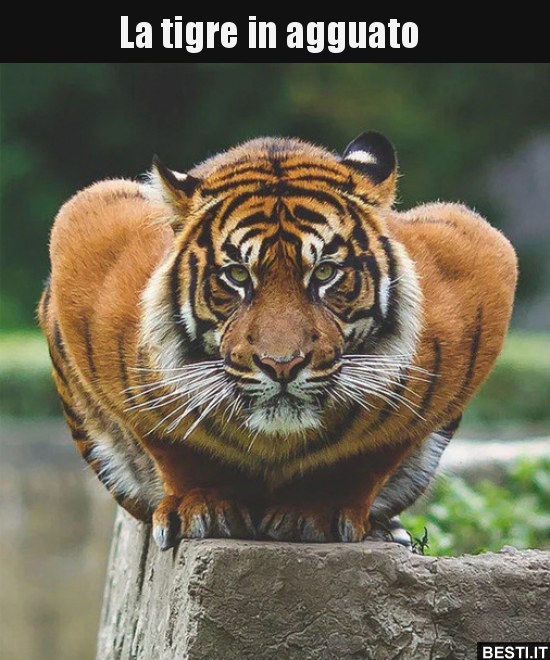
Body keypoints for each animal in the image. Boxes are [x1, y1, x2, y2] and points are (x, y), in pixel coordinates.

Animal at [38, 131, 517, 550]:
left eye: (324, 272)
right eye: (237, 275)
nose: (282, 365)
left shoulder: (481, 256)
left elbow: (371, 454)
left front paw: (318, 511)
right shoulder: (85, 226)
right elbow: (171, 441)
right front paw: (202, 506)